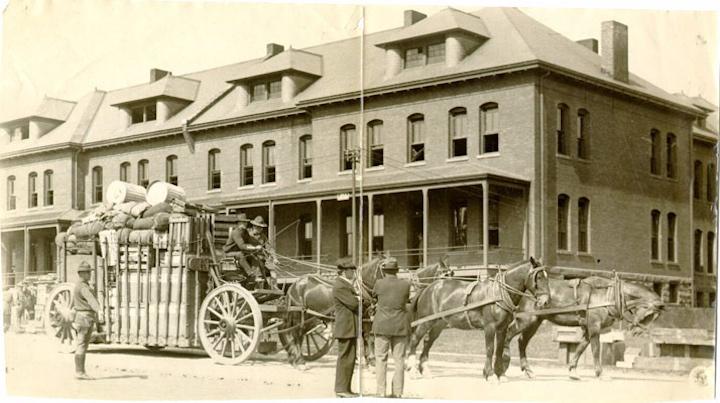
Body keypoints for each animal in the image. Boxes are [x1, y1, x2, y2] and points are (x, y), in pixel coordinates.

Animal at [404, 258, 552, 382]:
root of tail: (427, 288)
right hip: (425, 322)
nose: (545, 302)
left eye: (546, 277)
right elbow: (490, 349)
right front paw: (490, 374)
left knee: (428, 341)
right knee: (414, 341)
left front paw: (500, 374)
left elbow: (498, 350)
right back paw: (411, 371)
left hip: (439, 323)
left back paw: (425, 370)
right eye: (539, 277)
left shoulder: (502, 328)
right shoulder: (489, 327)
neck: (498, 293)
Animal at [500, 276, 664, 380]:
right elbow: (596, 350)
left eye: (655, 317)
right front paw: (600, 373)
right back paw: (503, 364)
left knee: (522, 341)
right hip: (527, 319)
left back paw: (527, 370)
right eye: (650, 314)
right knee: (508, 334)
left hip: (535, 322)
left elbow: (580, 348)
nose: (637, 331)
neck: (608, 295)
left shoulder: (588, 329)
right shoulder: (594, 328)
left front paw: (573, 371)